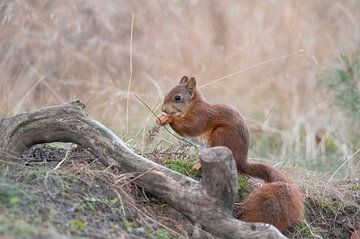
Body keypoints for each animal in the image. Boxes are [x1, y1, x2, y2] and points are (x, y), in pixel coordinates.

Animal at [157, 75, 304, 231]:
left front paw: (169, 118)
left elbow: (190, 127)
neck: (193, 105)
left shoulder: (201, 116)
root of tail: (241, 161)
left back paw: (198, 164)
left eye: (177, 98)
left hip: (221, 136)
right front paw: (160, 118)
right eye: (167, 94)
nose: (163, 109)